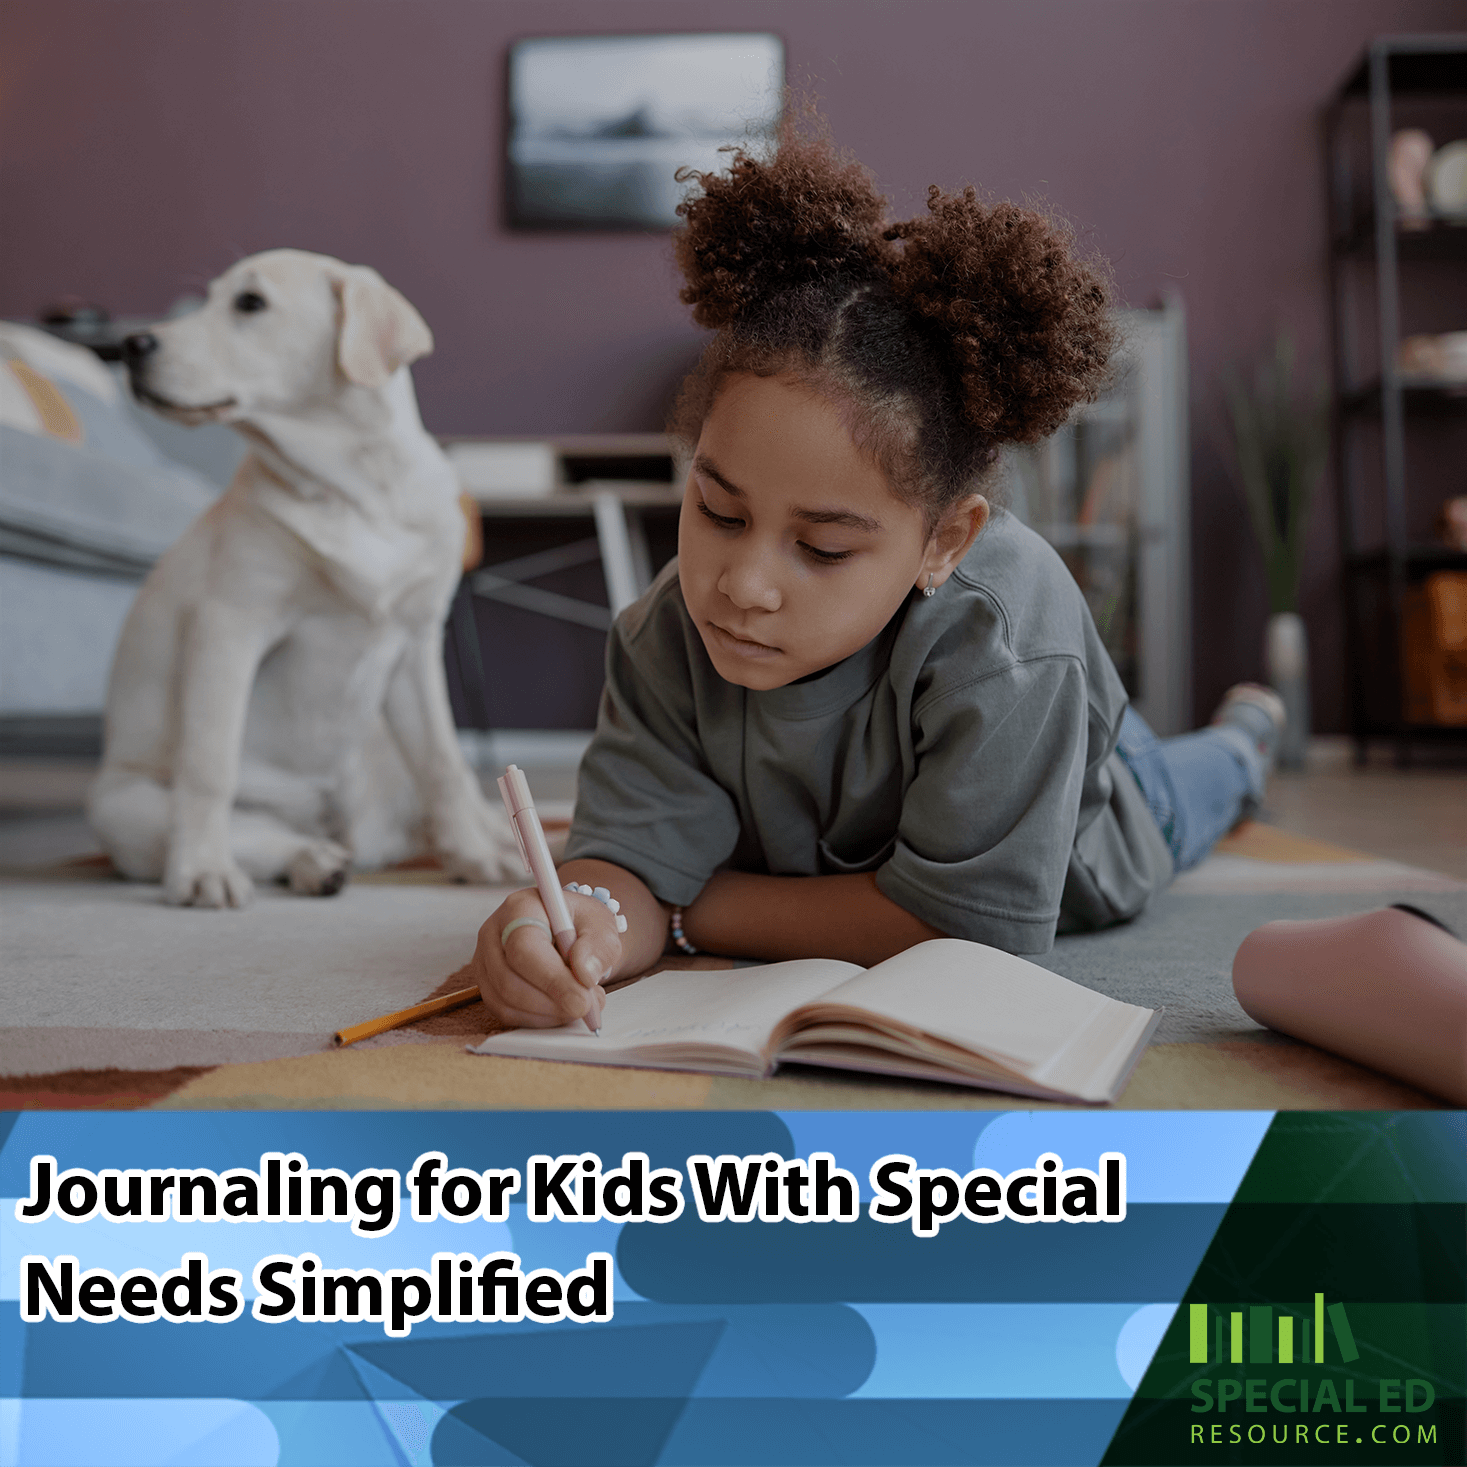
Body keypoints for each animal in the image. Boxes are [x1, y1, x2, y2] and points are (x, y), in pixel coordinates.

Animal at [90, 252, 516, 903]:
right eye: (209, 300)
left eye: (250, 303)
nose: (130, 345)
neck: (357, 490)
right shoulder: (229, 626)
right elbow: (208, 765)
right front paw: (202, 870)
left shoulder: (416, 643)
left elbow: (442, 760)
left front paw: (475, 856)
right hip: (124, 810)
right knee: (257, 833)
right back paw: (312, 859)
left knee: (464, 785)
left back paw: (492, 839)